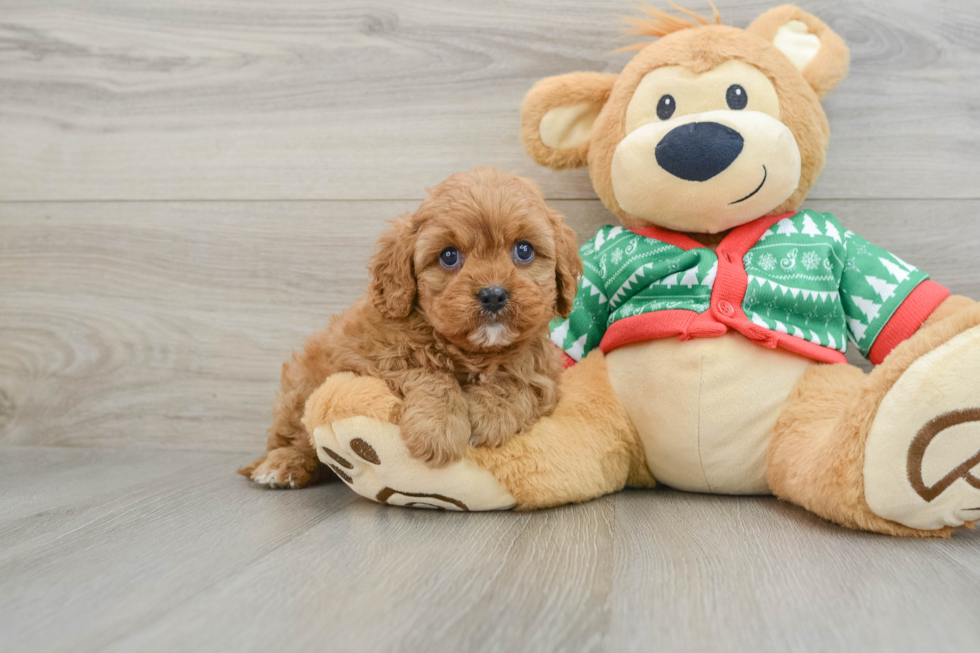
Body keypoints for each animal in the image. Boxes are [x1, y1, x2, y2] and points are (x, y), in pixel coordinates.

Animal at [240, 166, 580, 486]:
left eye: (524, 250)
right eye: (449, 256)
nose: (493, 294)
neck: (472, 351)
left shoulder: (544, 373)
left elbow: (518, 381)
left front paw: (491, 415)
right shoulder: (368, 355)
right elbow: (427, 373)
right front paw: (438, 431)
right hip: (301, 387)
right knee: (293, 438)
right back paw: (281, 465)